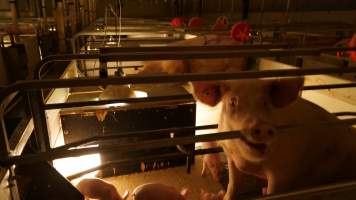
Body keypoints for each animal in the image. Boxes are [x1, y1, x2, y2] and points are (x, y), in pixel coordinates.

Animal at [193, 77, 356, 199]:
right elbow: (233, 185)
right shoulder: (231, 156)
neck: (251, 163)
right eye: (233, 102)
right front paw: (225, 196)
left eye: (266, 102)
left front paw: (266, 192)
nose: (263, 126)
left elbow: (273, 192)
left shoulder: (283, 171)